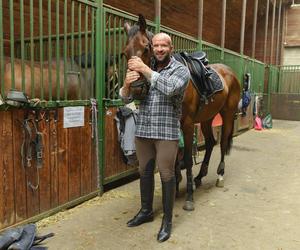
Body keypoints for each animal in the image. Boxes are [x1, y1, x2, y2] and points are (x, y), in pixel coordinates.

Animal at [122, 14, 241, 211]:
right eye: (125, 52)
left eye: (146, 47)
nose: (137, 88)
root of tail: (230, 72)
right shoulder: (175, 124)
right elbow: (175, 154)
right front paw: (176, 186)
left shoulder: (187, 123)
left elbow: (186, 156)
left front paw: (189, 197)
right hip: (207, 118)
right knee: (210, 142)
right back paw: (200, 177)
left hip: (228, 114)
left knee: (223, 143)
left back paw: (220, 176)